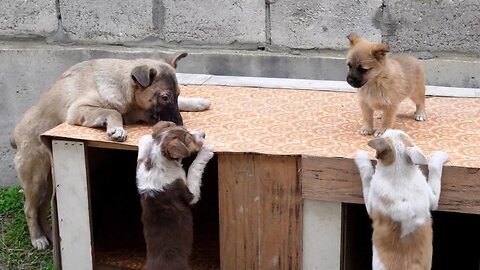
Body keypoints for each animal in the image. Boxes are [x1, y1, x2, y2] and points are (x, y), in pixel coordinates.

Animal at [10, 52, 210, 249]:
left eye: (176, 94)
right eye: (164, 97)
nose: (180, 124)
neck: (122, 87)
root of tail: (15, 135)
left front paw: (197, 102)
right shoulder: (79, 109)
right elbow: (113, 112)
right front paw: (116, 129)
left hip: (48, 183)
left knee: (42, 207)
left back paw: (51, 235)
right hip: (36, 179)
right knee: (30, 208)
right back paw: (38, 238)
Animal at [137, 121, 216, 268]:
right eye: (189, 139)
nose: (203, 134)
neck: (160, 165)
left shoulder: (141, 176)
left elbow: (141, 157)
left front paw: (146, 138)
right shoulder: (190, 194)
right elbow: (194, 169)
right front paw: (206, 151)